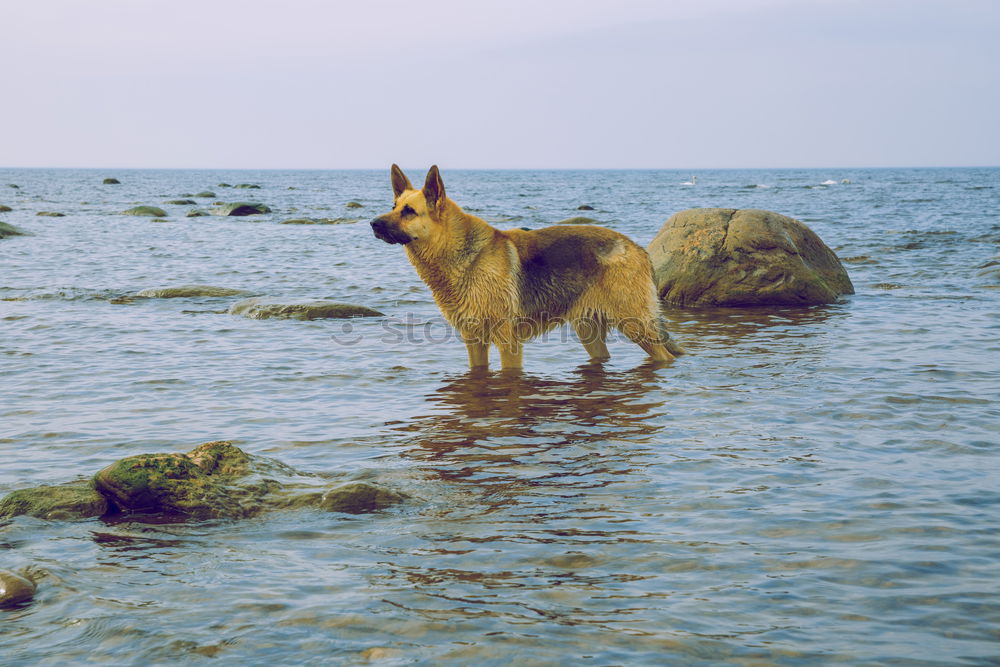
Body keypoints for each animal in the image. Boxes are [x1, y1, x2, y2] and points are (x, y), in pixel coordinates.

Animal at [372, 164, 684, 368]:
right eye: (393, 206)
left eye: (409, 212)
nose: (373, 224)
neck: (461, 254)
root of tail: (637, 247)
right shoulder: (474, 341)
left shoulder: (507, 342)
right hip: (589, 332)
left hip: (635, 326)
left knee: (664, 357)